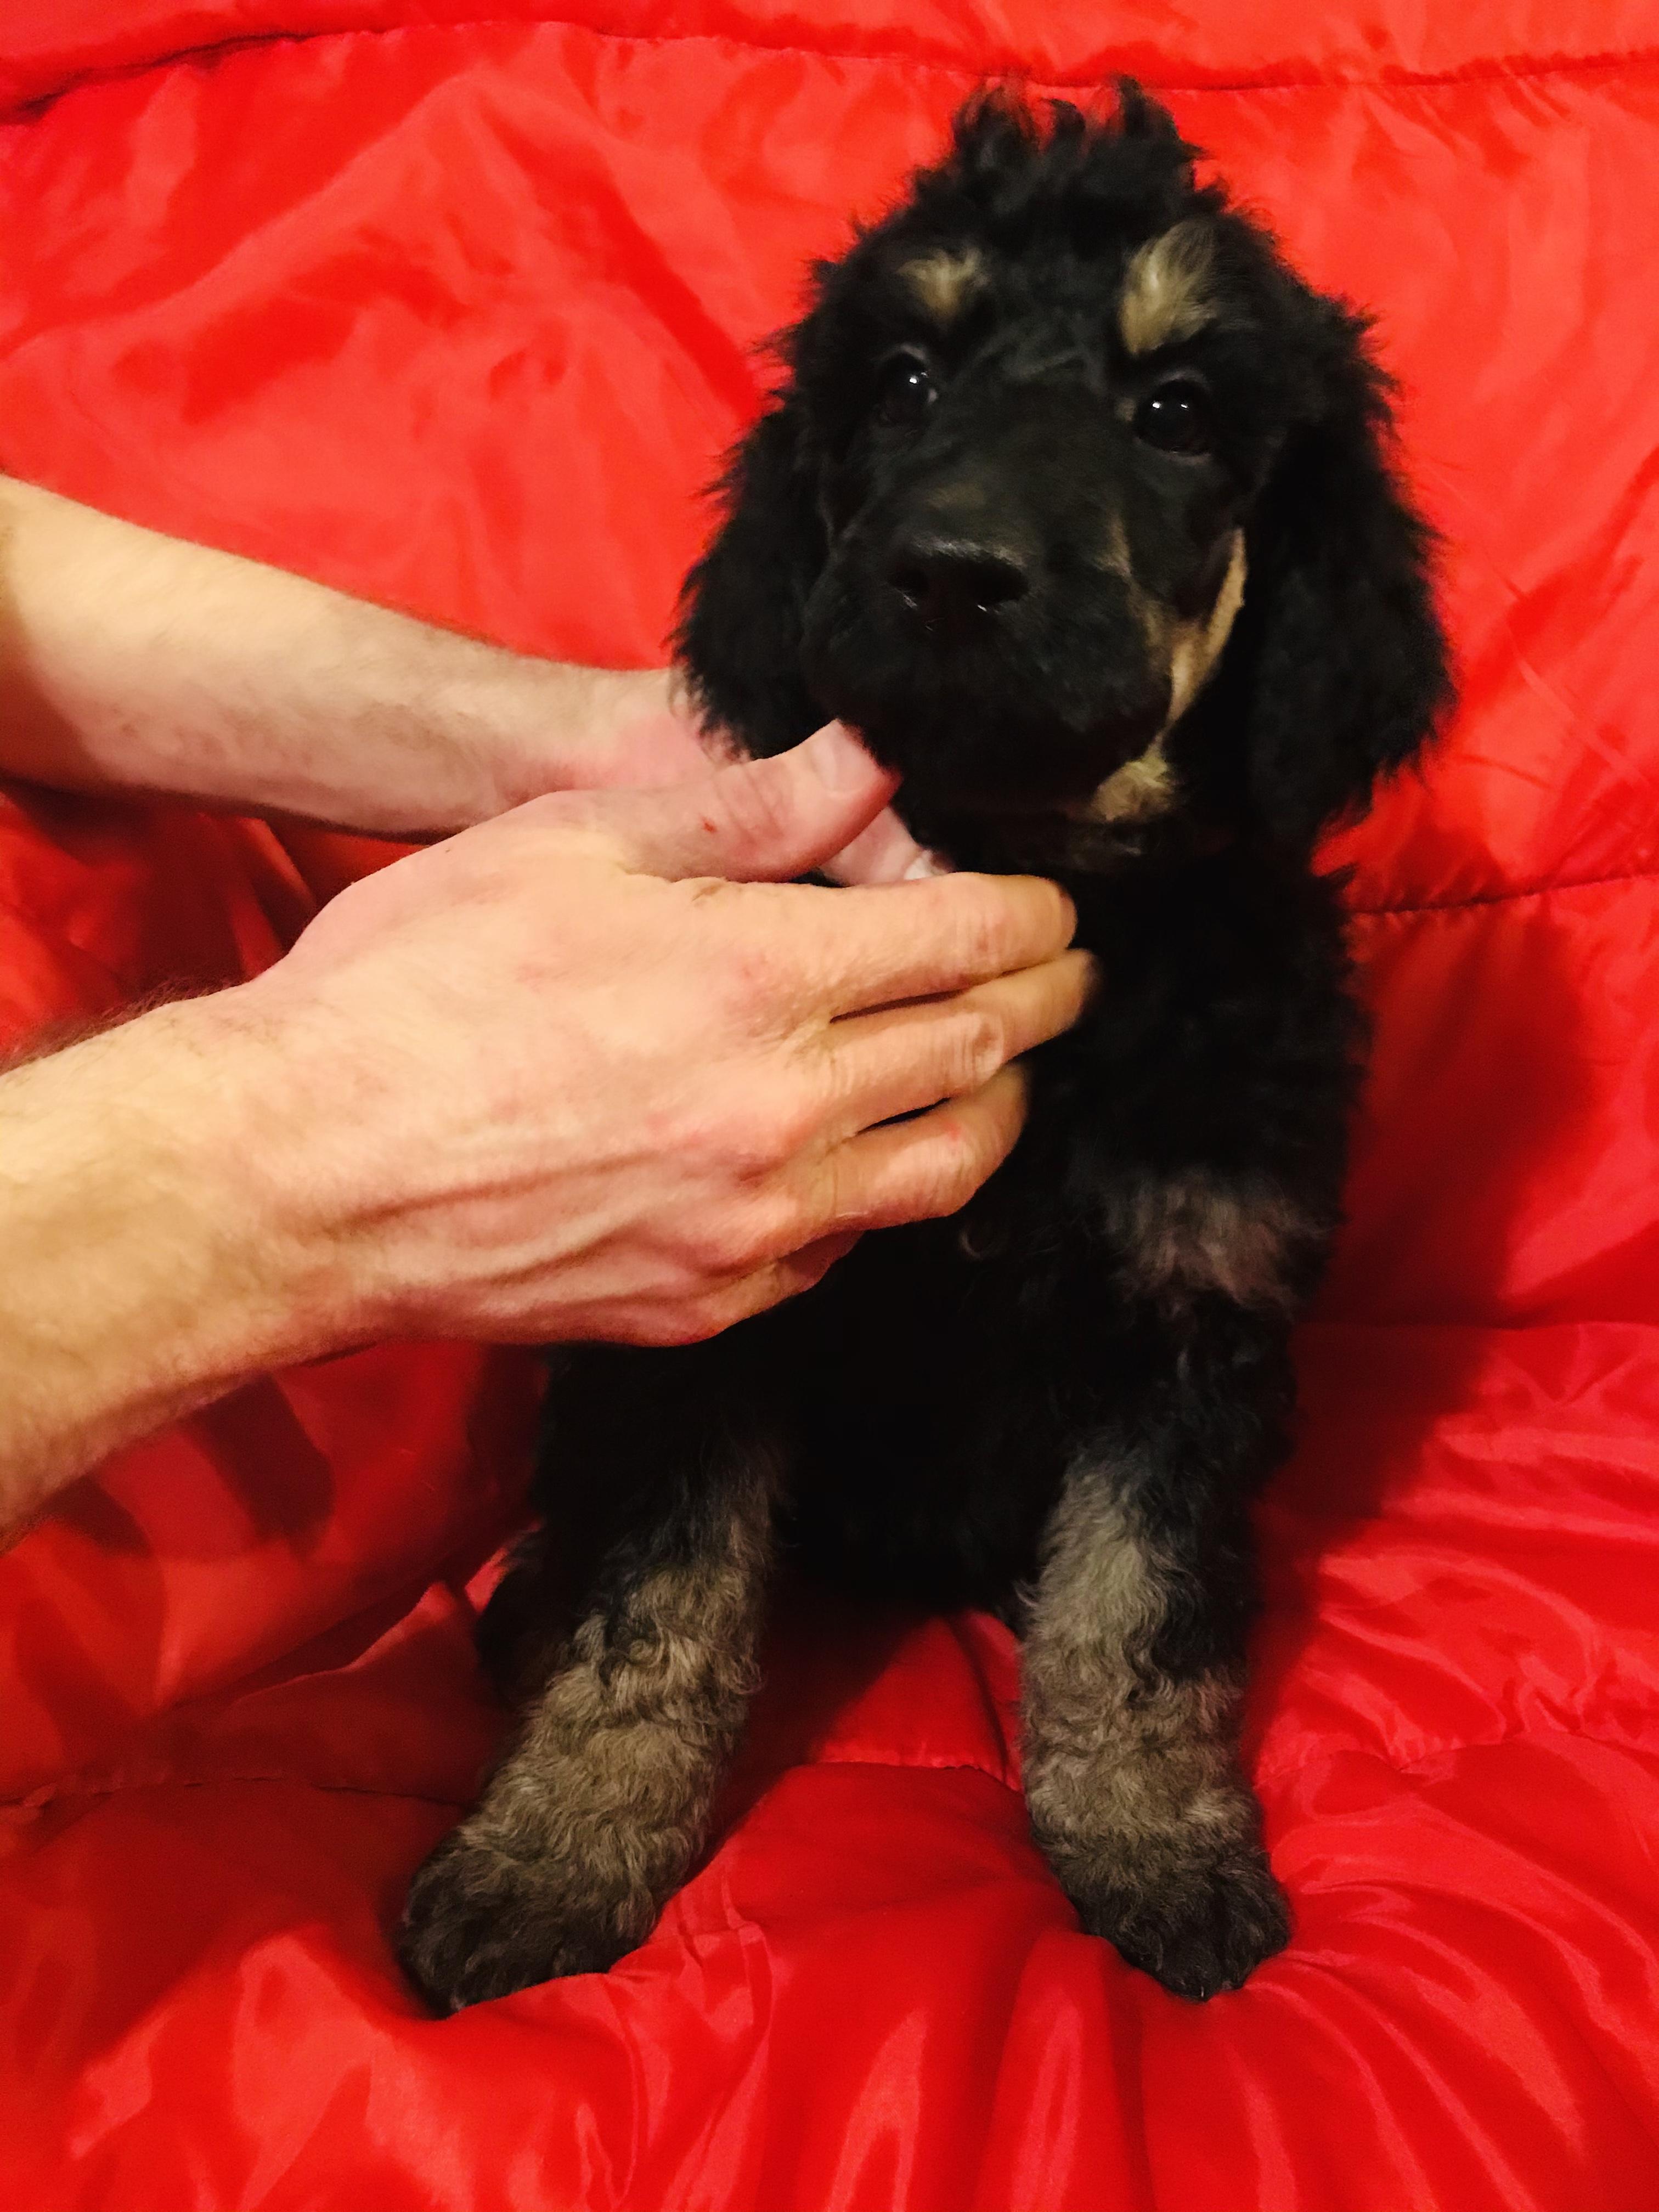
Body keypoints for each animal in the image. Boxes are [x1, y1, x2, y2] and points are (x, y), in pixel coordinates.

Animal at [398, 83, 1450, 2010]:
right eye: (898, 381)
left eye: (1179, 415)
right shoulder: (706, 1305)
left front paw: (1152, 1844)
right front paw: (556, 1848)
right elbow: (651, 1604)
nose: (951, 576)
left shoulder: (1194, 1314)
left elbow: (1137, 1612)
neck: (1035, 862)